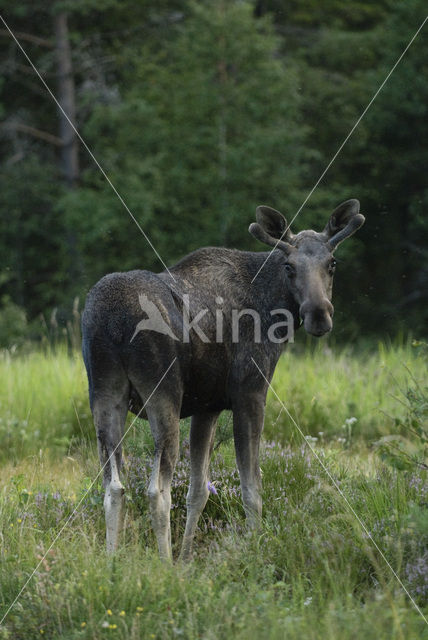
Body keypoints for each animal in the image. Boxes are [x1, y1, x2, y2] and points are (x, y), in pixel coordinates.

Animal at [81, 198, 364, 556]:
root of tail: (114, 321)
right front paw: (255, 548)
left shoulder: (207, 406)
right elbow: (251, 489)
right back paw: (162, 563)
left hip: (104, 393)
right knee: (156, 490)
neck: (272, 308)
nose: (319, 314)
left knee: (114, 486)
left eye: (332, 263)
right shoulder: (249, 394)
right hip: (163, 393)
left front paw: (187, 559)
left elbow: (198, 491)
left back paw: (112, 560)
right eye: (289, 266)